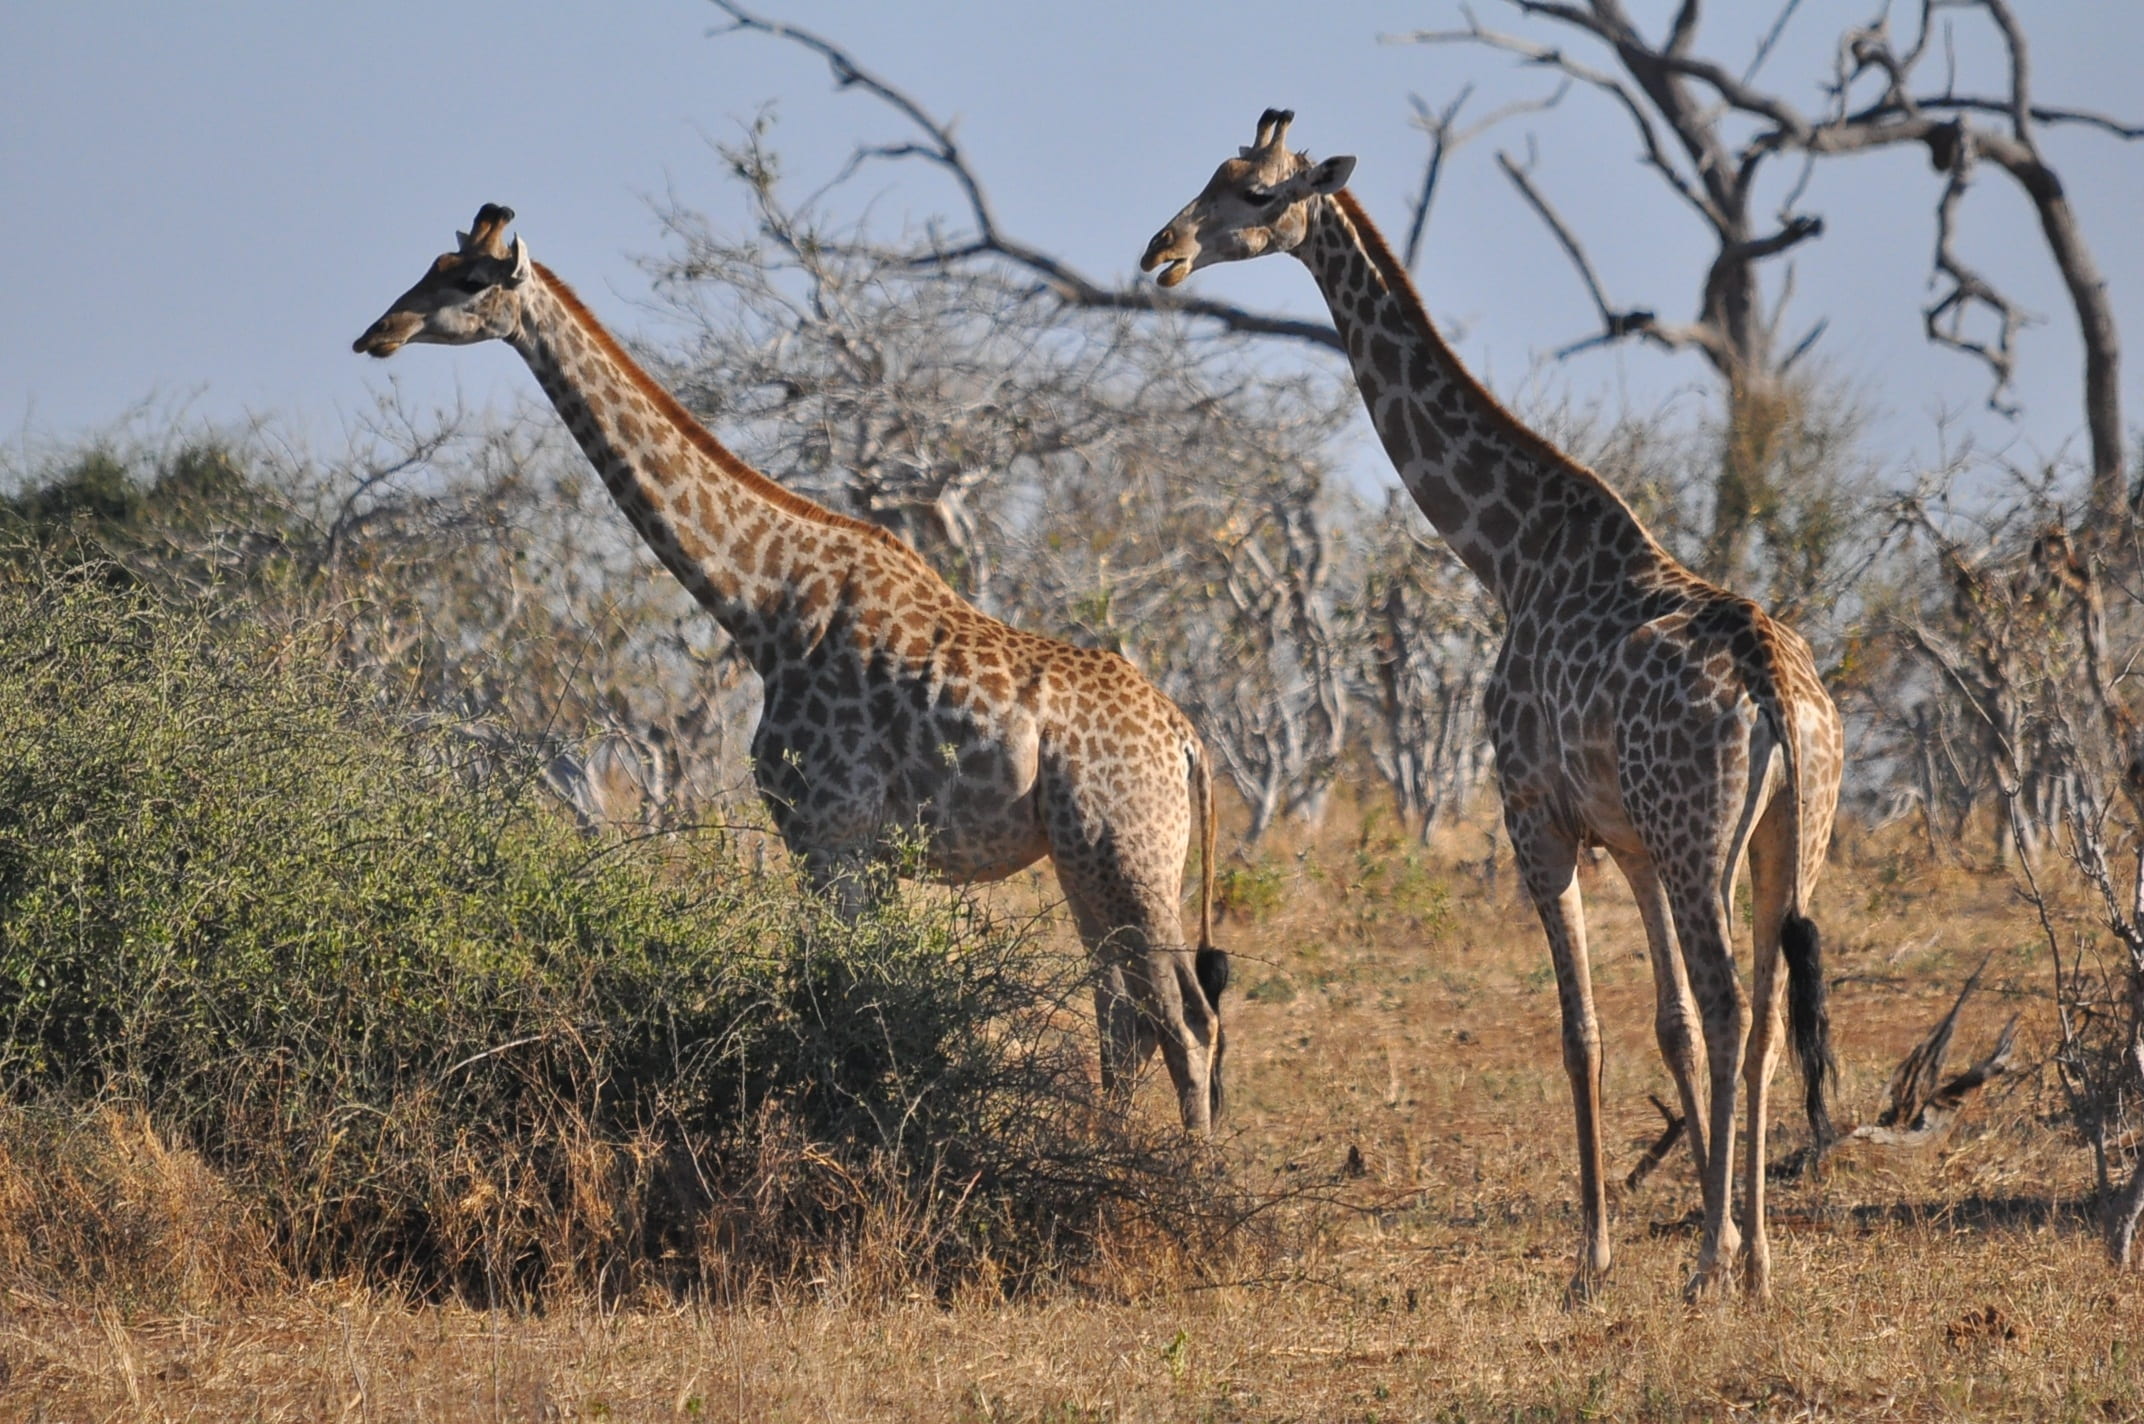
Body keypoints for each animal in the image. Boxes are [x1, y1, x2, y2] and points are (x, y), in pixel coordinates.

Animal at [354, 205, 1230, 1132]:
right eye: (433, 264)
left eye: (465, 280)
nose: (377, 333)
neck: (758, 604)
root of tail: (1188, 744)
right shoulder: (862, 851)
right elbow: (869, 993)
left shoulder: (826, 833)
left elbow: (838, 995)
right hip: (1085, 860)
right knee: (1124, 1019)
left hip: (1129, 854)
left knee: (1185, 1020)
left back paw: (1189, 1170)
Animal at [1143, 112, 1844, 1300]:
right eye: (1210, 175)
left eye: (1251, 192)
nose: (1161, 251)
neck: (1510, 555)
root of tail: (1770, 688)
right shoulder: (1631, 839)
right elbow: (1666, 1026)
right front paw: (1686, 1236)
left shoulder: (1534, 817)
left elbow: (1580, 1029)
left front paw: (1591, 1261)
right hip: (1788, 837)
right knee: (1756, 1014)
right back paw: (1753, 1261)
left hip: (1705, 837)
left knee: (1735, 1002)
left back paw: (1713, 1261)